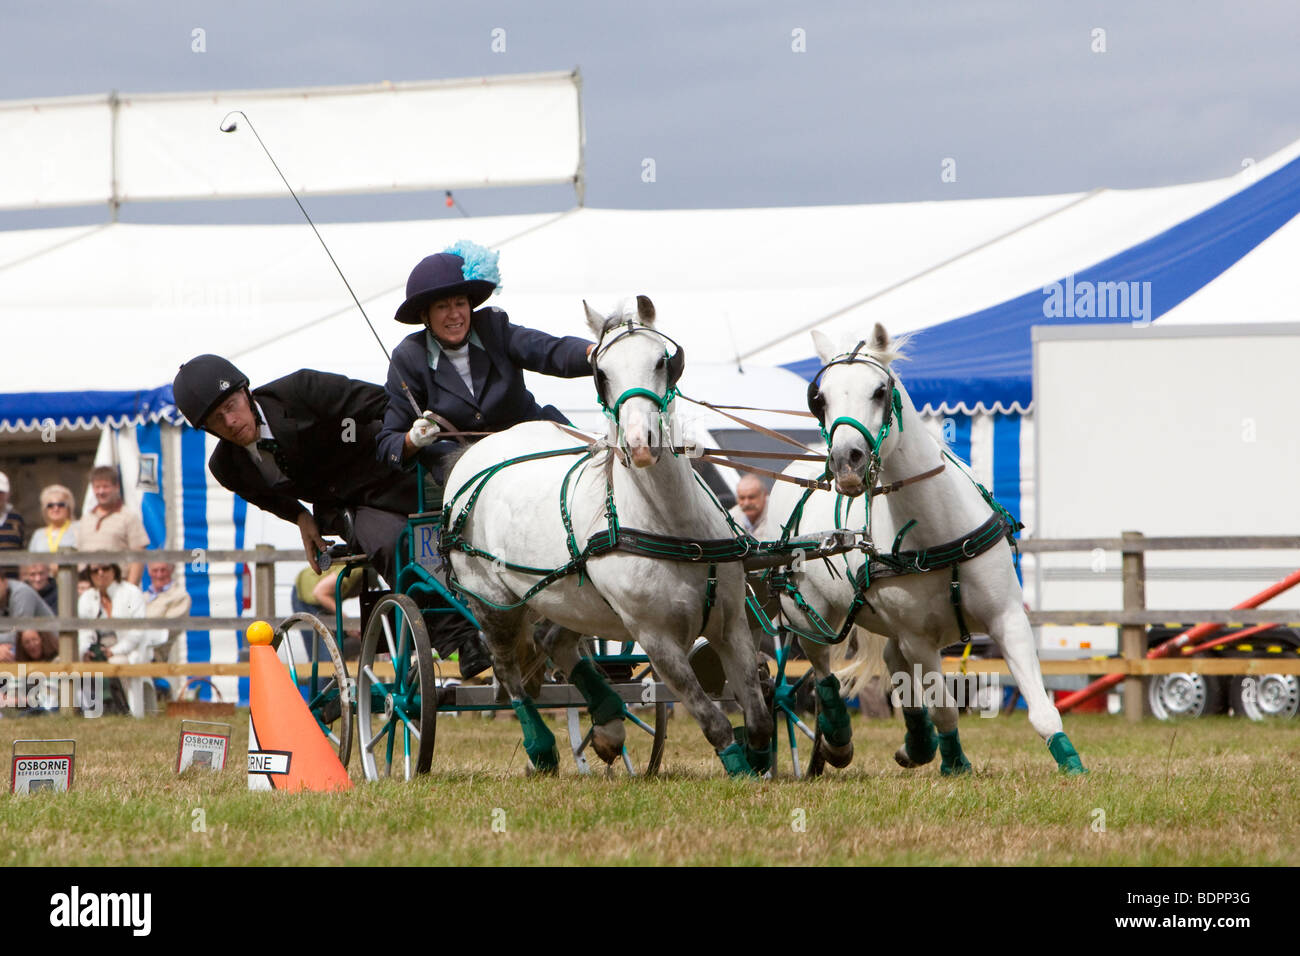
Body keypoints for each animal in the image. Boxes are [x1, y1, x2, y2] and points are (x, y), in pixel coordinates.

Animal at [441, 297, 774, 780]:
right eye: (601, 372)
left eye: (662, 361)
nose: (640, 443)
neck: (672, 524)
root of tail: (479, 448)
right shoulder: (655, 637)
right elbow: (708, 713)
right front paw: (739, 763)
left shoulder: (731, 624)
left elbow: (759, 711)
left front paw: (761, 756)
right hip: (492, 601)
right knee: (507, 669)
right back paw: (541, 746)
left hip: (568, 597)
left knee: (553, 643)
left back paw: (609, 723)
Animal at [769, 325, 1086, 775]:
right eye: (820, 397)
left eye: (879, 391)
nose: (847, 461)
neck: (936, 527)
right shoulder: (919, 638)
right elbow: (945, 708)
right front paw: (955, 763)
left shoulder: (1008, 617)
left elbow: (1041, 707)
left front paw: (1070, 761)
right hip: (805, 613)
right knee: (822, 669)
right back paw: (837, 738)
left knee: (889, 659)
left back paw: (915, 743)